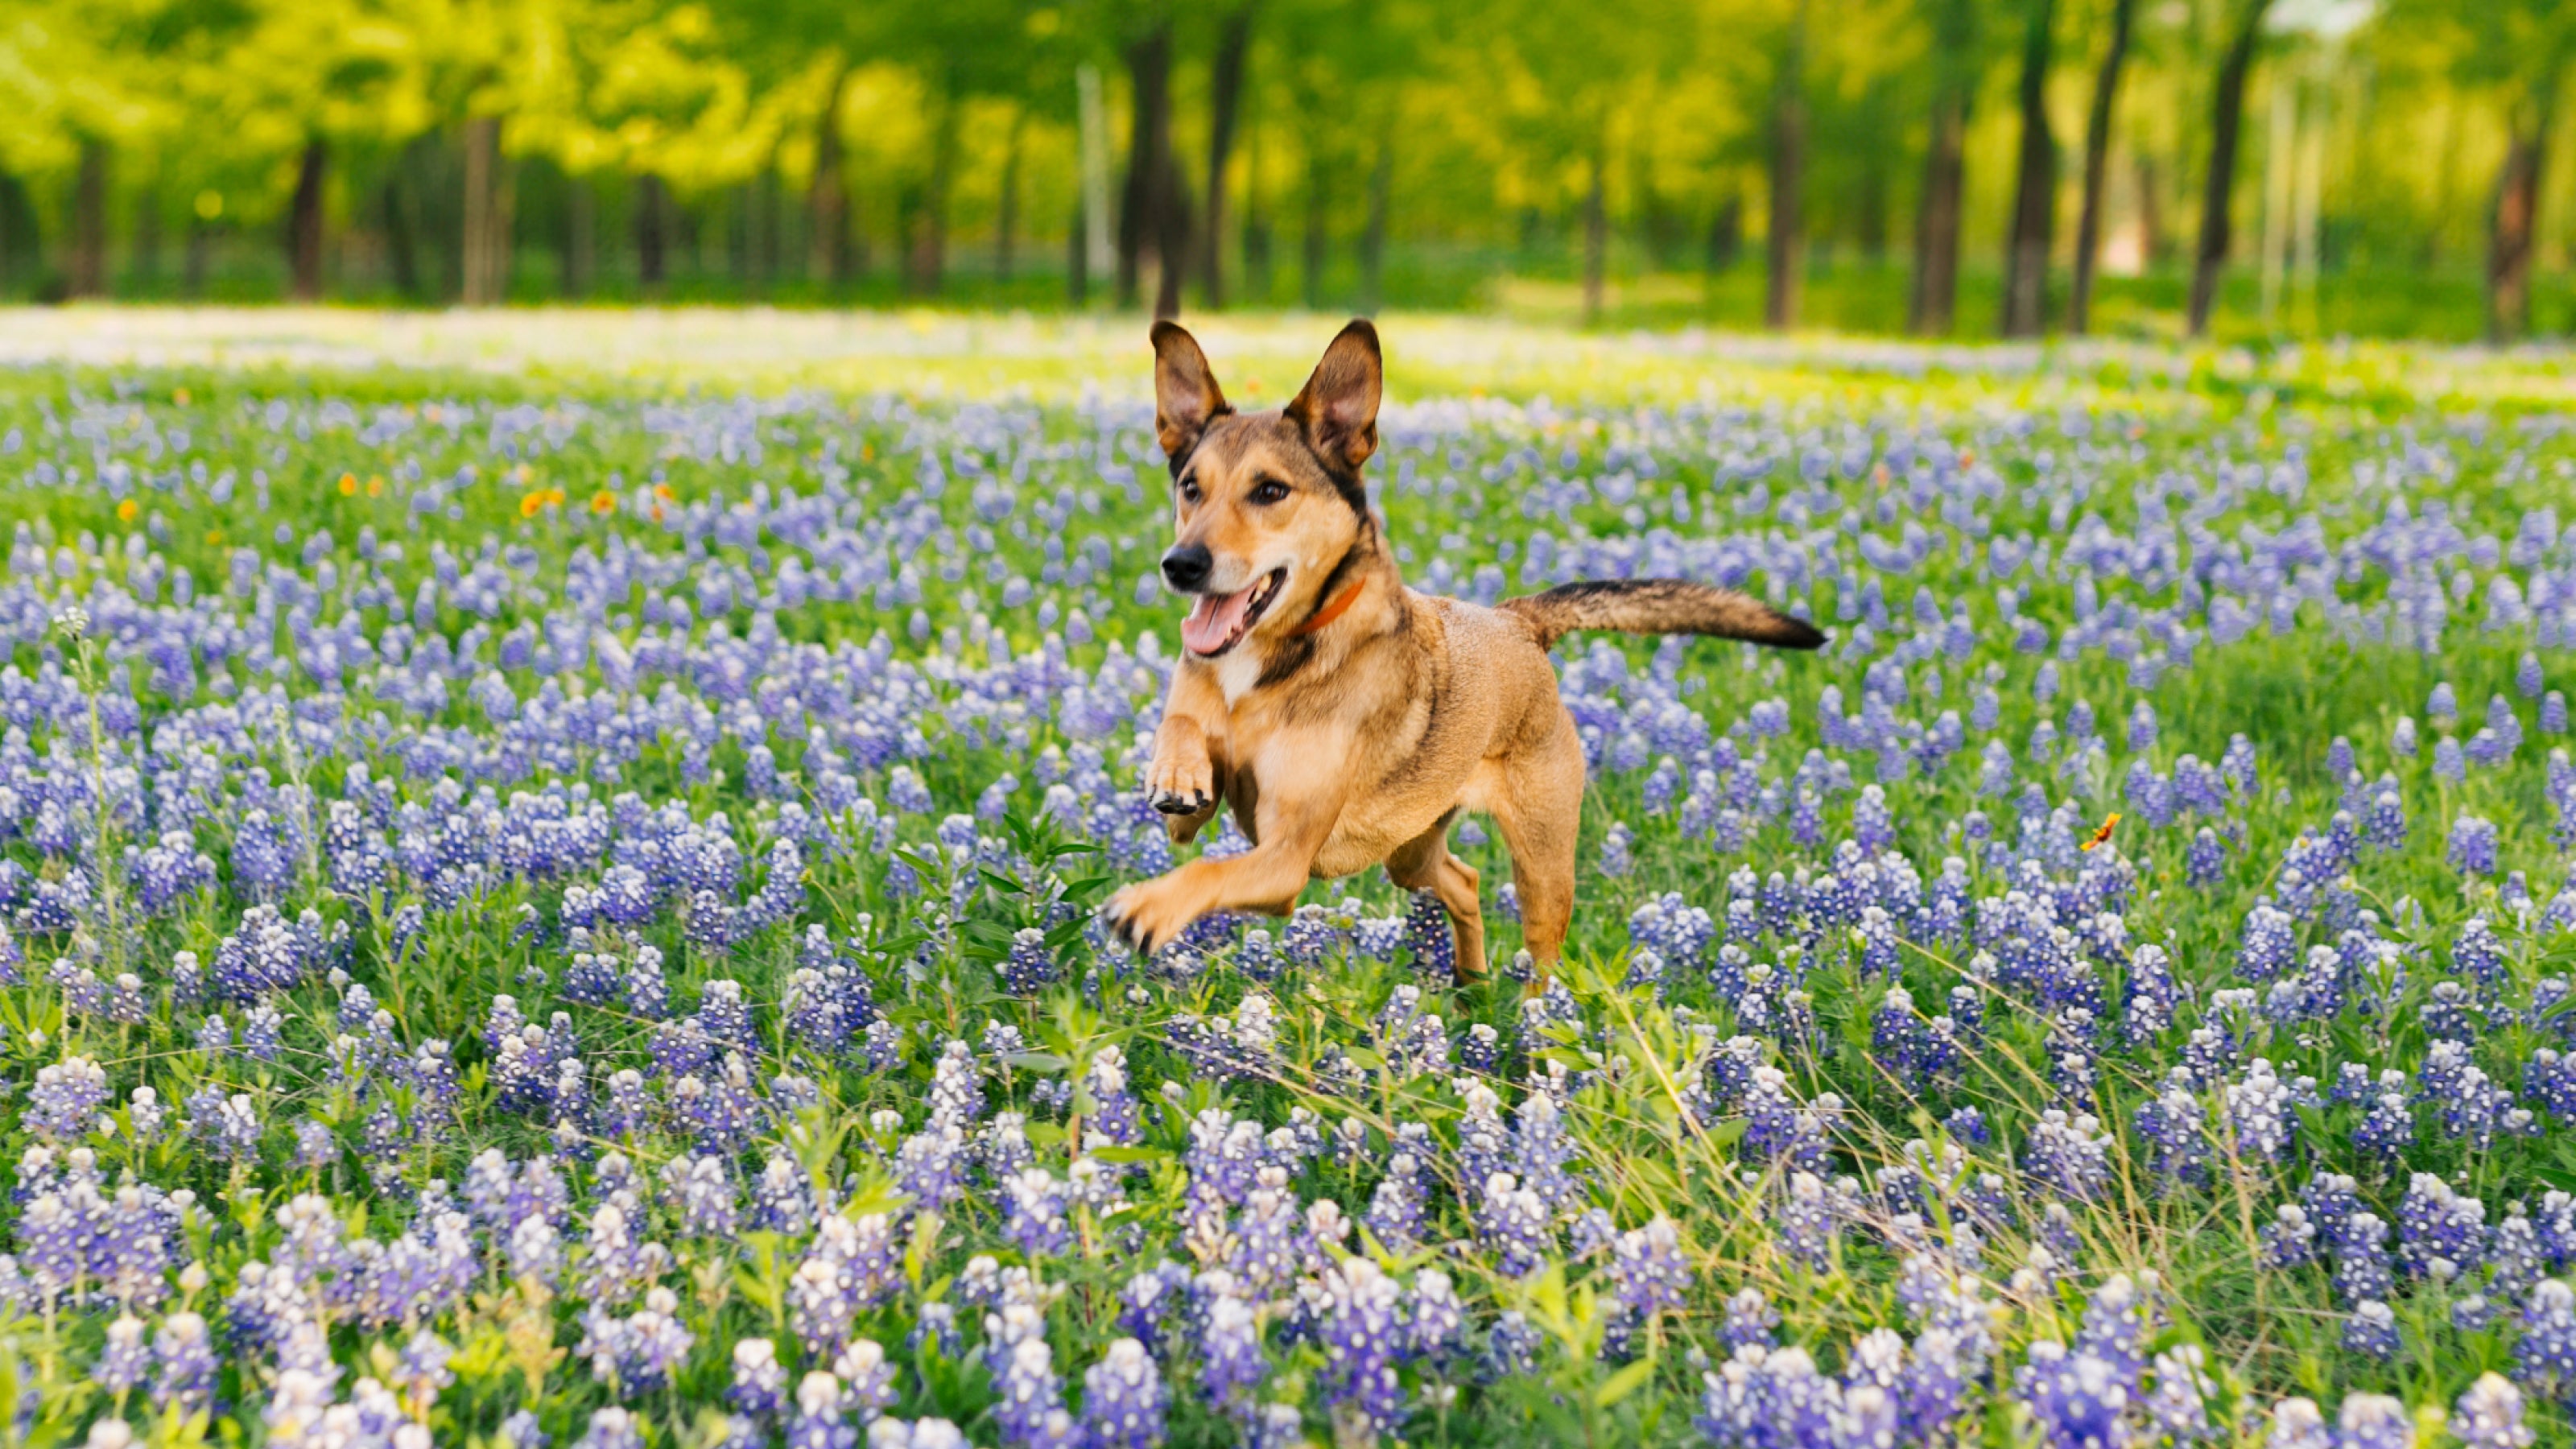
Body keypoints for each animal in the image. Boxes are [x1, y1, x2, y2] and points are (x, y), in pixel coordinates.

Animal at [1097, 320, 1823, 980]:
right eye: (1190, 487)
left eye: (1270, 490)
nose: (1182, 564)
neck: (1273, 663)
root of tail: (1516, 621)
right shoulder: (1199, 804)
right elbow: (1185, 729)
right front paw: (1177, 770)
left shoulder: (1286, 858)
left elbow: (1209, 872)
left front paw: (1149, 907)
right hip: (1407, 849)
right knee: (1464, 880)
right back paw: (1470, 985)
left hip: (1542, 865)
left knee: (1541, 960)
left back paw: (1531, 1029)